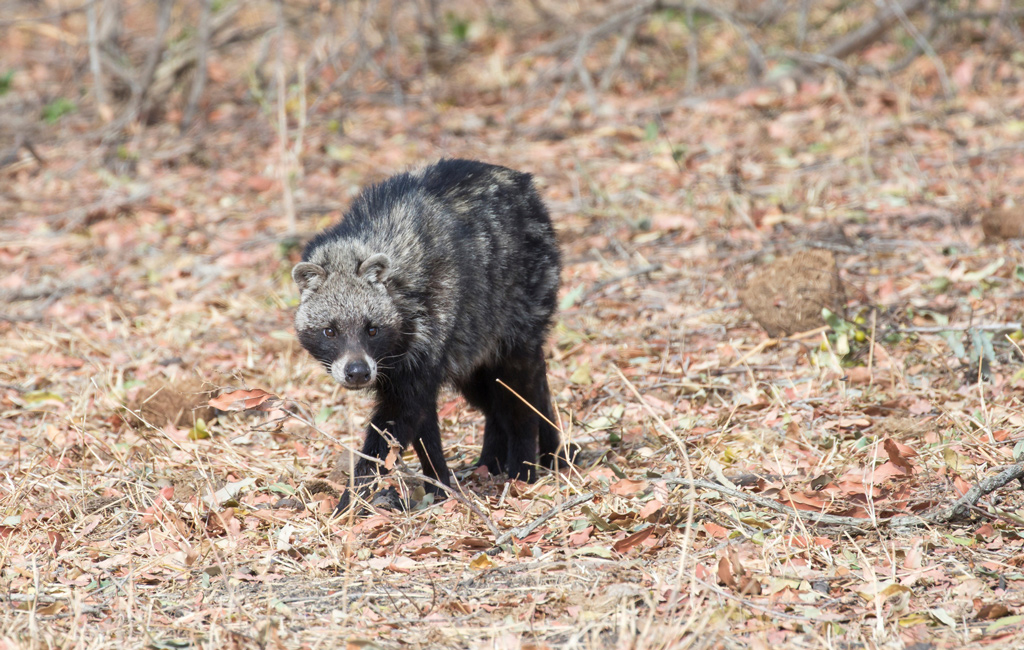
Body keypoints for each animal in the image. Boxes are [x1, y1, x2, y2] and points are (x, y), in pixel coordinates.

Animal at [292, 158, 573, 513]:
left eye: (372, 329)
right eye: (330, 331)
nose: (357, 373)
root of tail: (522, 182)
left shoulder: (427, 336)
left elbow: (398, 421)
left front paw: (355, 497)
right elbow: (422, 424)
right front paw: (438, 482)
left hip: (520, 310)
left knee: (520, 392)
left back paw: (523, 464)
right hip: (472, 341)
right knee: (492, 397)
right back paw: (497, 459)